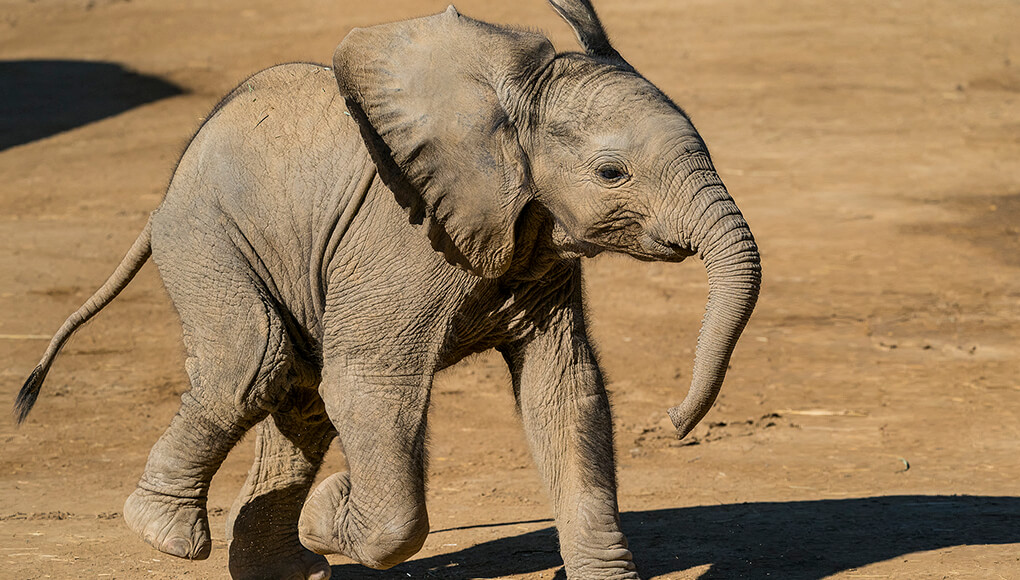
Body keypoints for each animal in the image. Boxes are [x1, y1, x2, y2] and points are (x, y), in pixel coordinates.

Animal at [13, 1, 758, 578]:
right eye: (611, 173)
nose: (674, 420)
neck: (503, 109)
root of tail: (164, 195)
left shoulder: (535, 242)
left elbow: (564, 390)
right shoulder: (403, 243)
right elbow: (368, 387)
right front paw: (332, 510)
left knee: (297, 395)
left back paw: (284, 568)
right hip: (209, 238)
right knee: (252, 367)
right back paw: (165, 534)